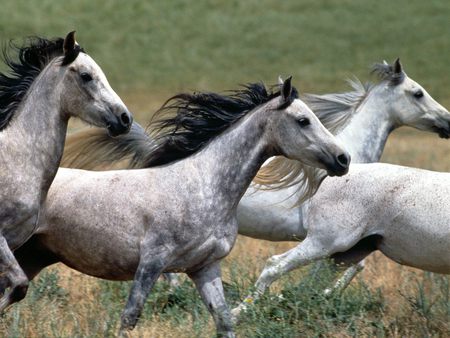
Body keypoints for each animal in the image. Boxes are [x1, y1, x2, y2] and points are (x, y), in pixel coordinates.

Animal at [8, 78, 350, 336]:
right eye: (303, 120)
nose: (343, 159)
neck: (201, 187)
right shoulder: (151, 263)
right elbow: (129, 318)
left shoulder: (204, 268)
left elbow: (224, 321)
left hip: (33, 257)